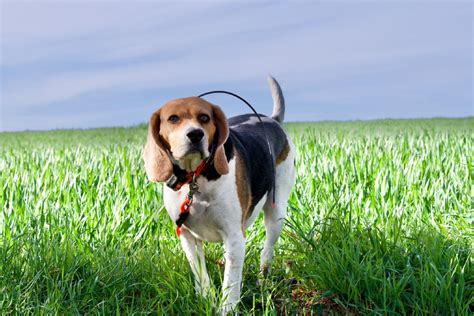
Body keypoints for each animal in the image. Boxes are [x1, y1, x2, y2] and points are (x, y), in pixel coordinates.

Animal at [143, 76, 294, 314]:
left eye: (204, 117)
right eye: (173, 118)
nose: (195, 134)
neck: (196, 178)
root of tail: (272, 120)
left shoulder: (234, 237)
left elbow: (230, 282)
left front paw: (227, 310)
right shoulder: (186, 235)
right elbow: (200, 274)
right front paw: (206, 300)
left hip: (276, 212)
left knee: (267, 251)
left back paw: (263, 280)